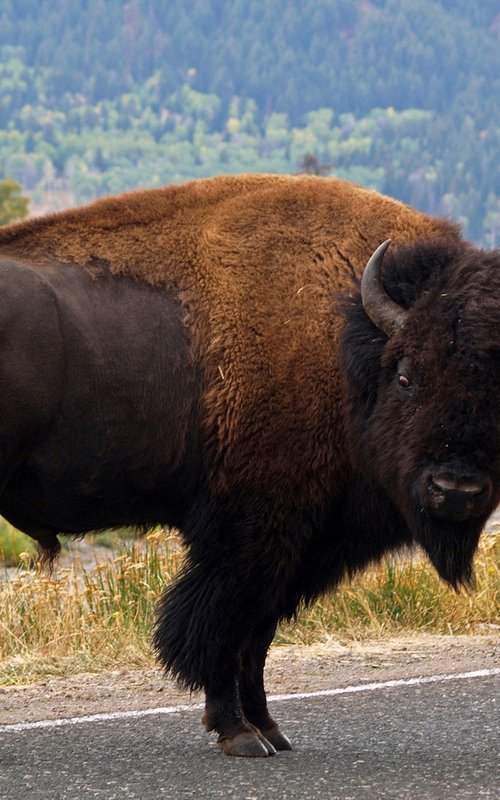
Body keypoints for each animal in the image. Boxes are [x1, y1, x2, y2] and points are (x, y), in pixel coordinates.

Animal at [0, 175, 498, 756]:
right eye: (405, 375)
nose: (455, 488)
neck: (347, 343)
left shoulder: (298, 545)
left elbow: (255, 637)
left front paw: (269, 729)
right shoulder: (251, 537)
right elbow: (221, 626)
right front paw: (239, 733)